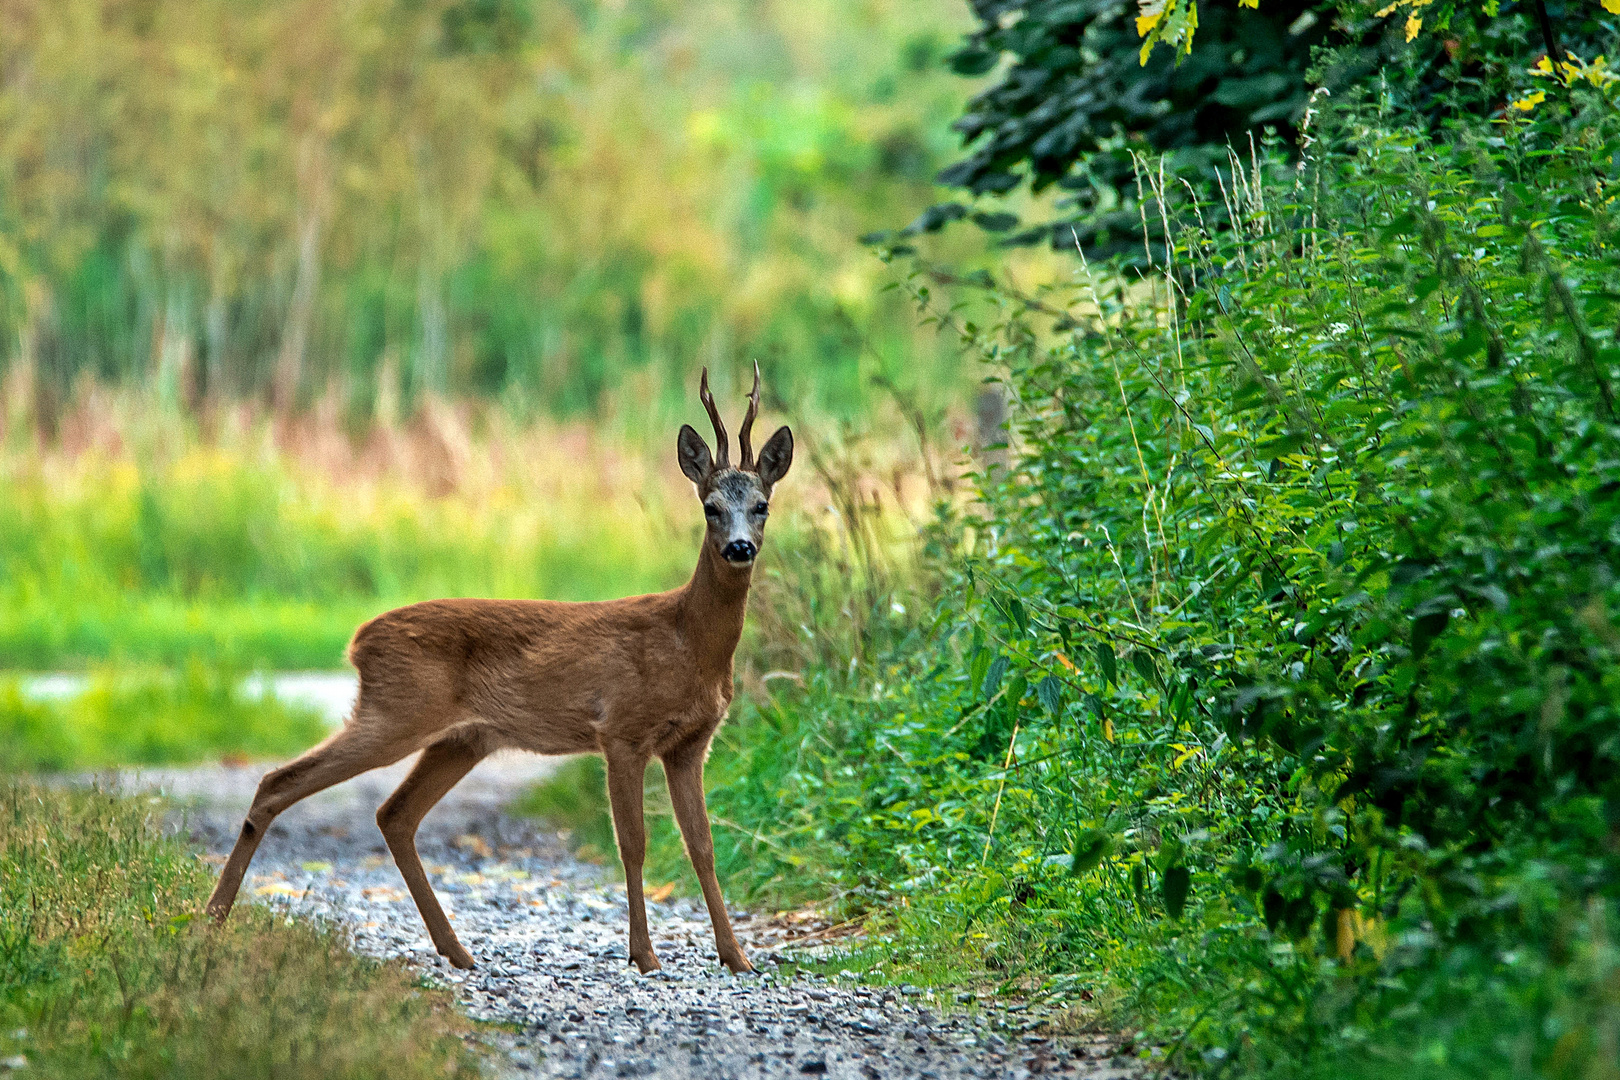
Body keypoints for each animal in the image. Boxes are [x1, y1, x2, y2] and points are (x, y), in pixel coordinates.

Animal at [205, 367, 787, 977]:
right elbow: (634, 842)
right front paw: (645, 956)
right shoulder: (621, 728)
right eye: (710, 506)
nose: (739, 548)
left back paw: (456, 949)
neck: (688, 642)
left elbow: (702, 844)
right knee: (278, 781)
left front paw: (737, 957)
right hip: (396, 711)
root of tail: (359, 641)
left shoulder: (690, 743)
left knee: (394, 814)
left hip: (463, 738)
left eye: (763, 505)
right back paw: (212, 919)